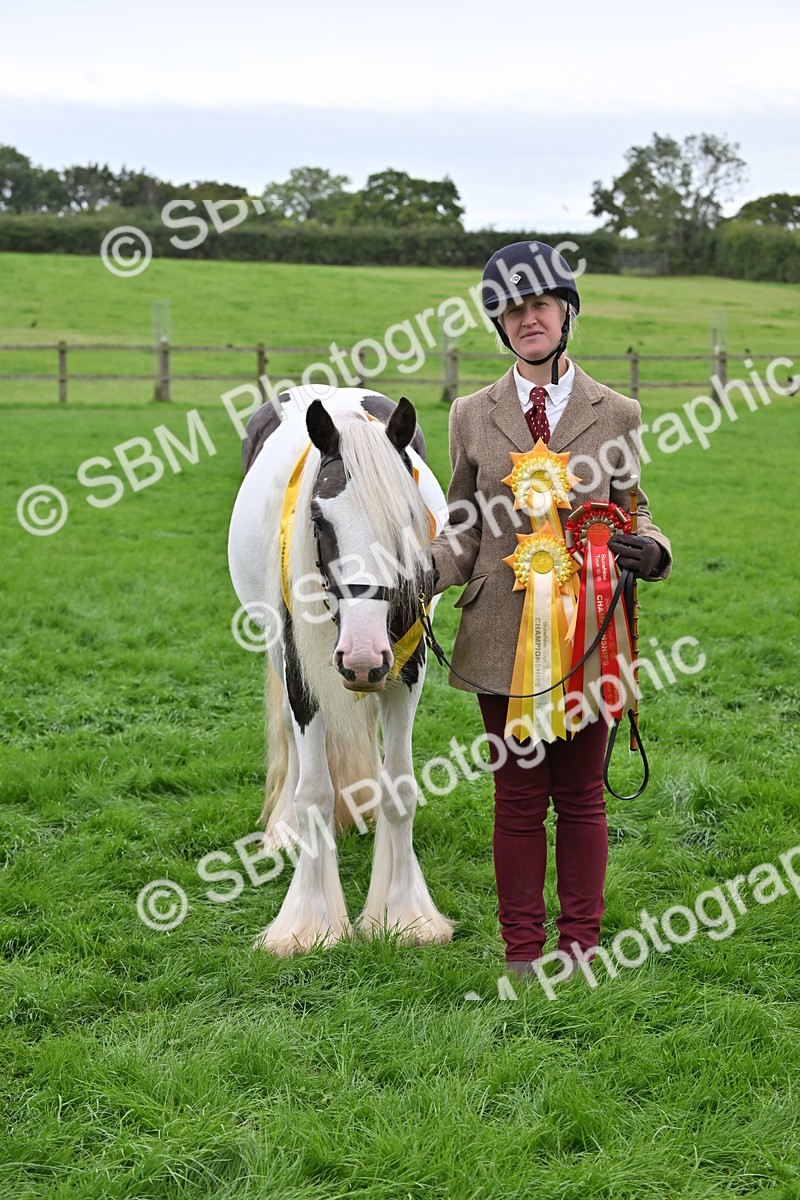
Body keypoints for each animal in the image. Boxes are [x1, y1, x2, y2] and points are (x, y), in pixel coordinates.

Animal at [228, 386, 454, 956]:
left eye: (405, 522)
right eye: (318, 521)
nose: (361, 658)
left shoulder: (407, 671)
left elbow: (401, 788)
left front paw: (405, 913)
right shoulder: (302, 674)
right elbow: (314, 792)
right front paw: (308, 923)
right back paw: (283, 832)